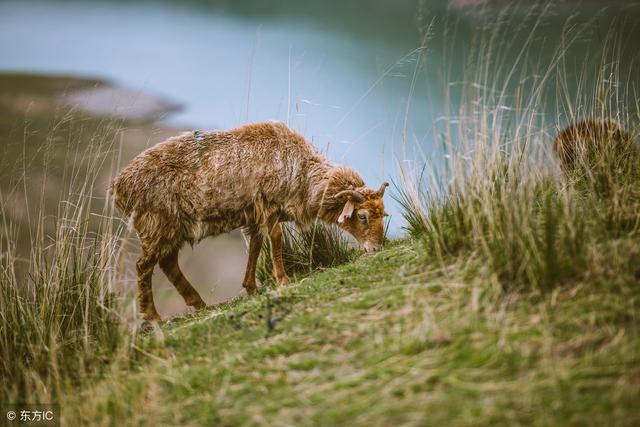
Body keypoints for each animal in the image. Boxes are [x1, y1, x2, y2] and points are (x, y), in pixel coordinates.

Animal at [112, 120, 388, 320]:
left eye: (383, 214)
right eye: (362, 216)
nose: (377, 248)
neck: (303, 176)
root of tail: (118, 188)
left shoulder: (254, 214)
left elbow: (256, 246)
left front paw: (251, 286)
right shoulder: (268, 205)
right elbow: (275, 238)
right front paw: (282, 279)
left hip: (172, 229)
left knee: (168, 263)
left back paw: (199, 303)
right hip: (156, 225)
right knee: (143, 266)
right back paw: (152, 316)